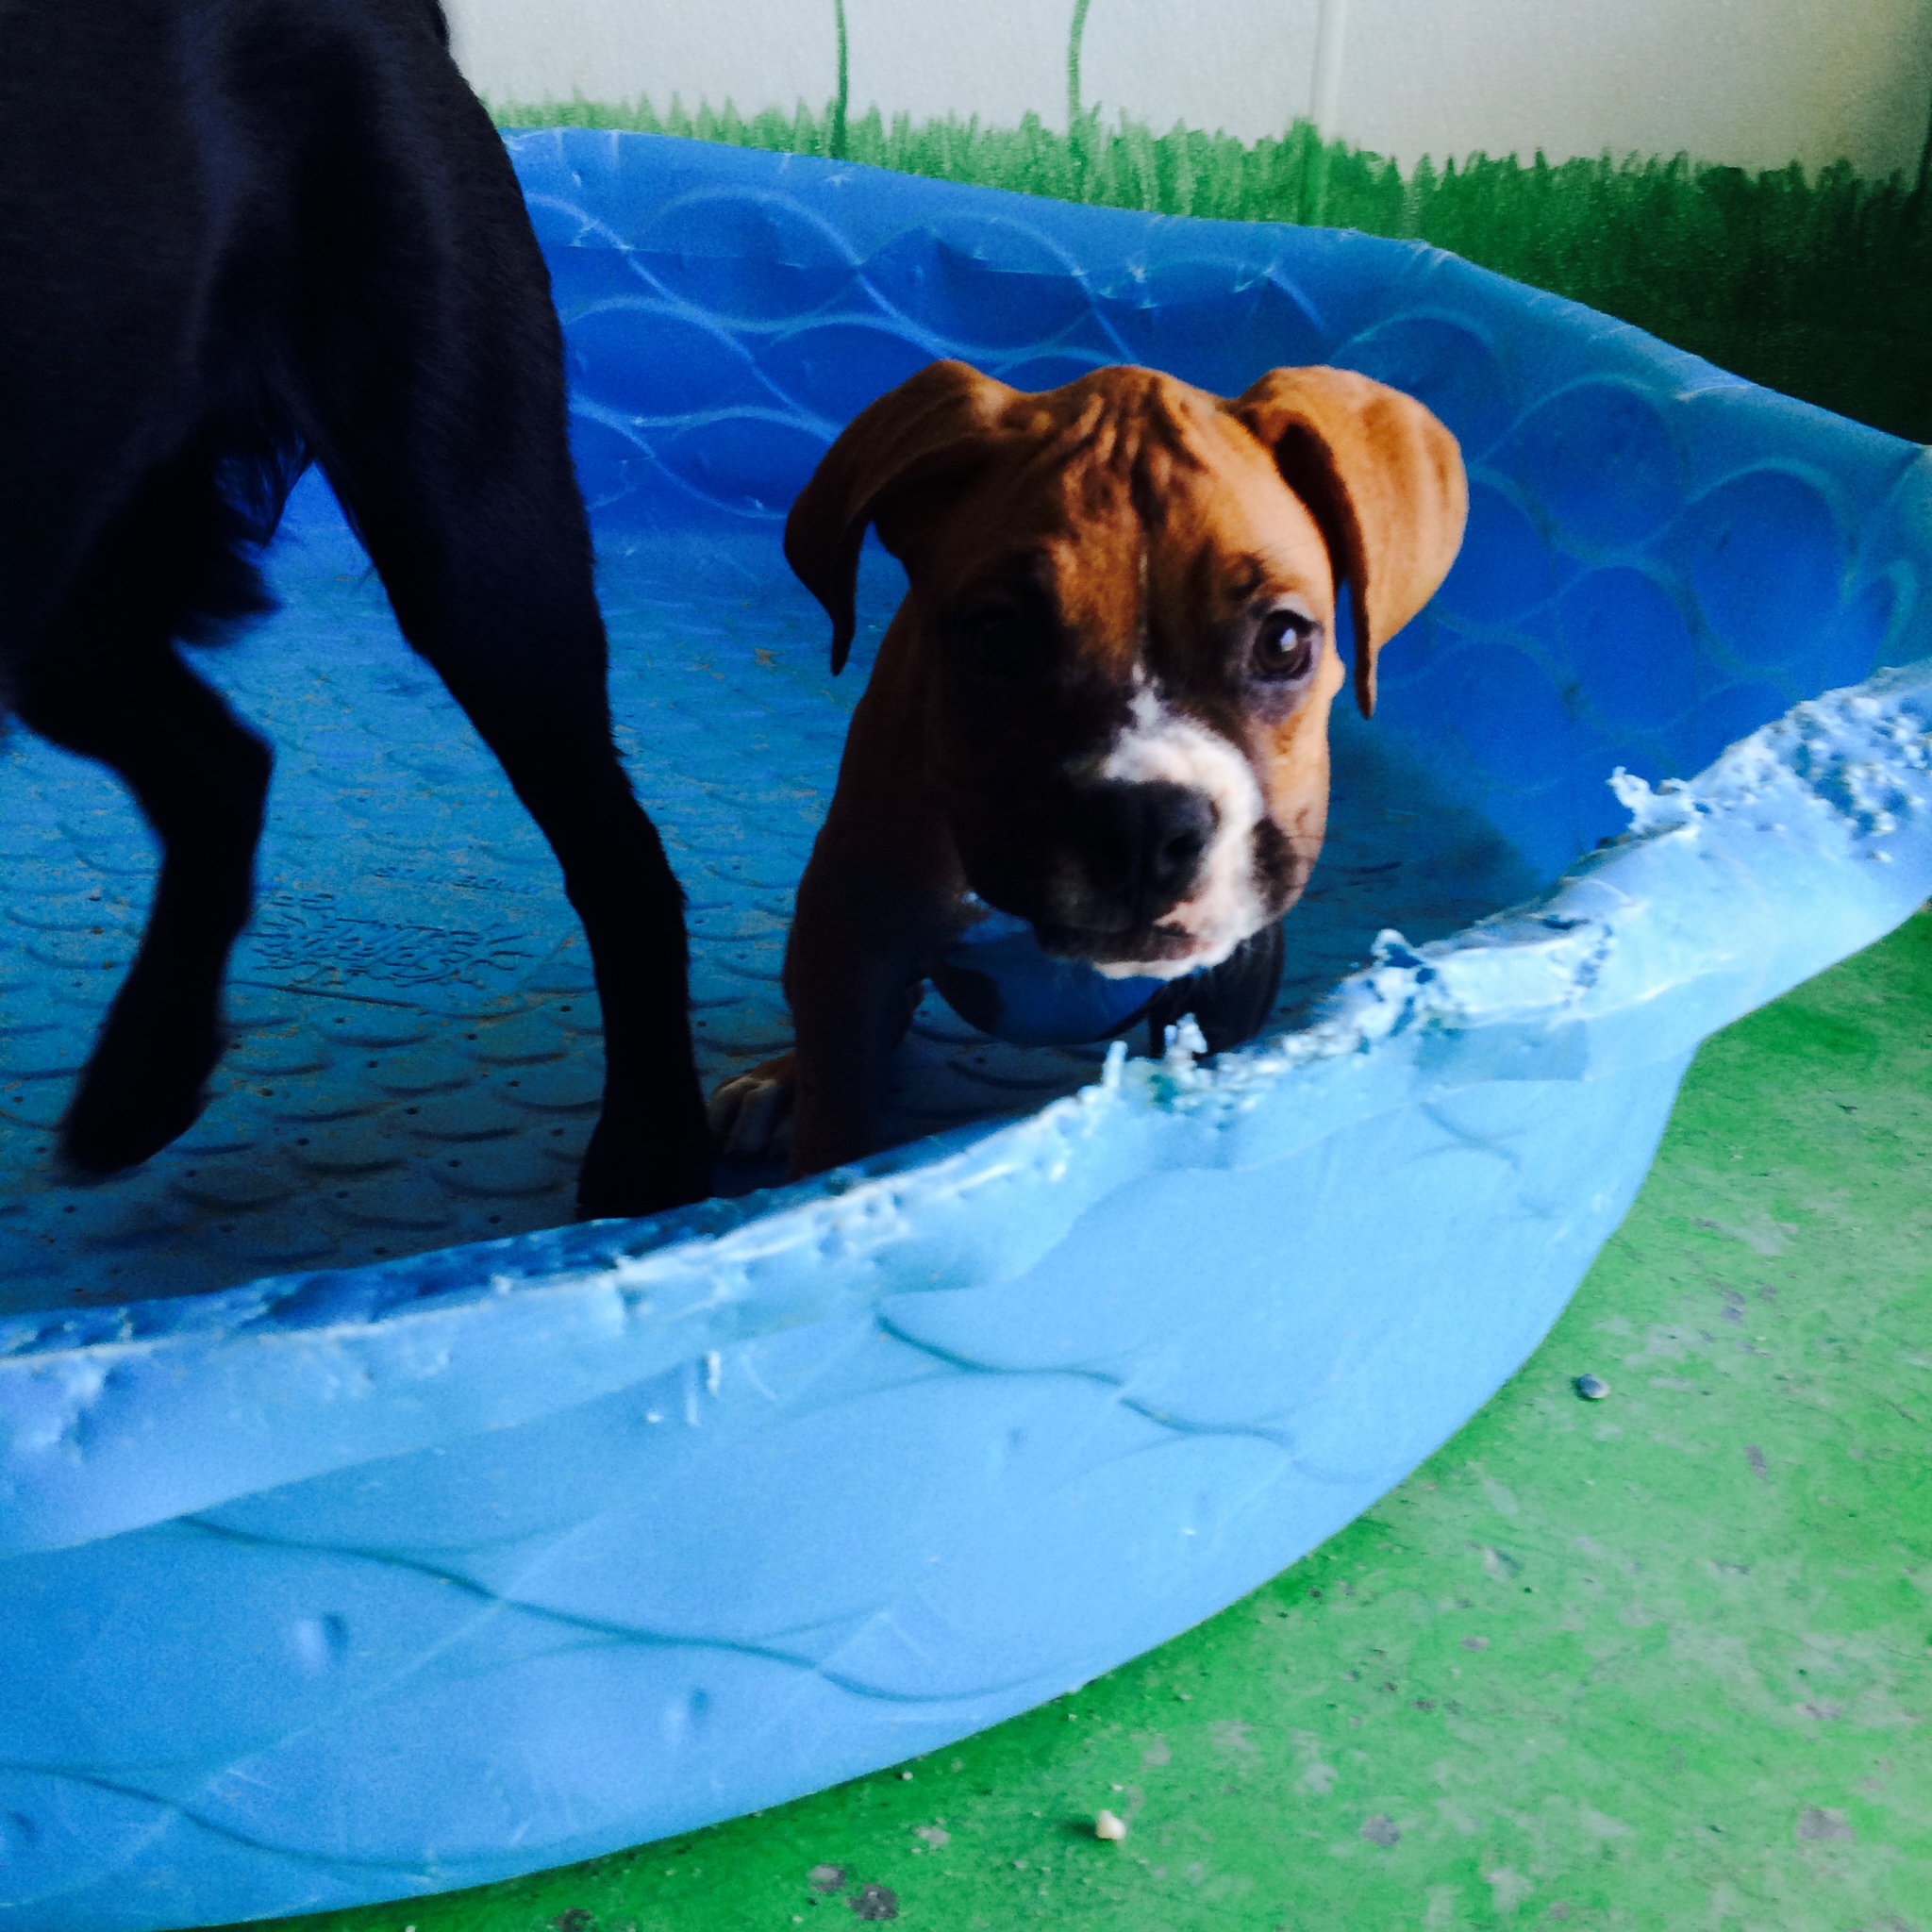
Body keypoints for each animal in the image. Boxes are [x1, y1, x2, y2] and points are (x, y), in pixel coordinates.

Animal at [0, 0, 710, 1217]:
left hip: (472, 545)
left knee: (621, 857)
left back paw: (651, 1148)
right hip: (69, 584)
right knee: (224, 767)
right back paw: (147, 1073)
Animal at [709, 359, 1467, 1178]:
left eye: (1284, 641)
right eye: (996, 638)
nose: (1144, 825)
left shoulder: (1230, 984)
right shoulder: (851, 948)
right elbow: (837, 1133)